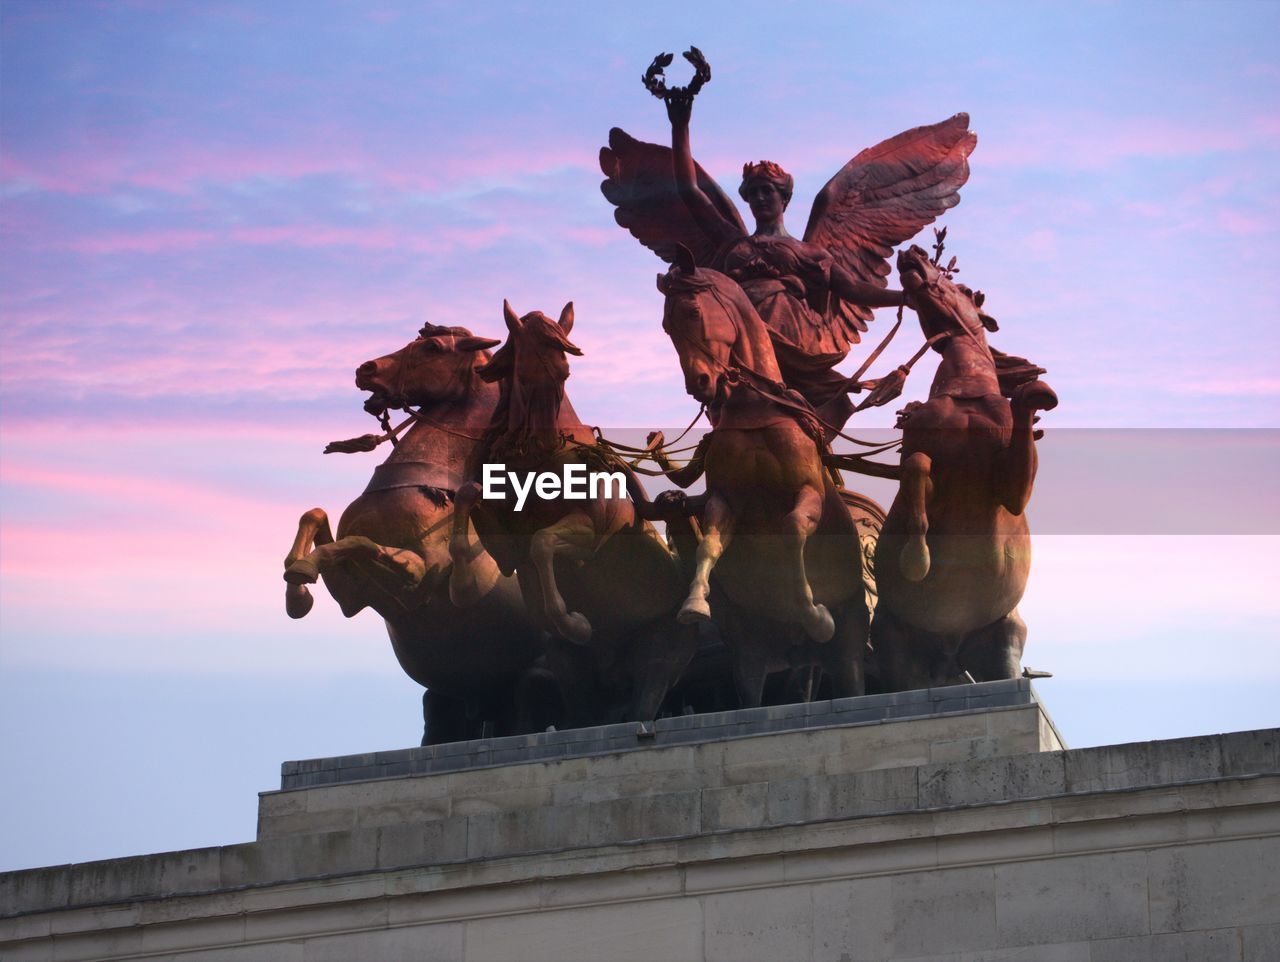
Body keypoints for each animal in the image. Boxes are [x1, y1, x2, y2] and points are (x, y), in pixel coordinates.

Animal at [282, 324, 542, 741]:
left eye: (432, 347)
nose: (365, 369)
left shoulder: (419, 574)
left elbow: (362, 544)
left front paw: (303, 574)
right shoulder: (352, 596)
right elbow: (317, 518)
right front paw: (298, 589)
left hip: (537, 676)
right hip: (452, 699)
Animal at [445, 304, 696, 726]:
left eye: (564, 373)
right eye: (526, 371)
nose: (545, 443)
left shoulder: (589, 532)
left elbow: (542, 544)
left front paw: (575, 623)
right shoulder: (502, 536)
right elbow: (467, 497)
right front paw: (462, 585)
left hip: (661, 653)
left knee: (645, 701)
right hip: (573, 673)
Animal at [660, 259, 870, 711]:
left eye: (693, 312)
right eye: (666, 325)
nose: (701, 384)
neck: (753, 406)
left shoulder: (808, 492)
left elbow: (792, 532)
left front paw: (814, 614)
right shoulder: (727, 500)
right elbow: (709, 544)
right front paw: (694, 602)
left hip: (849, 646)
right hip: (751, 653)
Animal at [870, 241, 1059, 690]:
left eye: (965, 288)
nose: (914, 252)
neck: (967, 396)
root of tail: (949, 653)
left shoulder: (1011, 489)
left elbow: (1023, 423)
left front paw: (1036, 393)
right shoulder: (919, 460)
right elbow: (918, 467)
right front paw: (916, 559)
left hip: (1003, 641)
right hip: (892, 644)